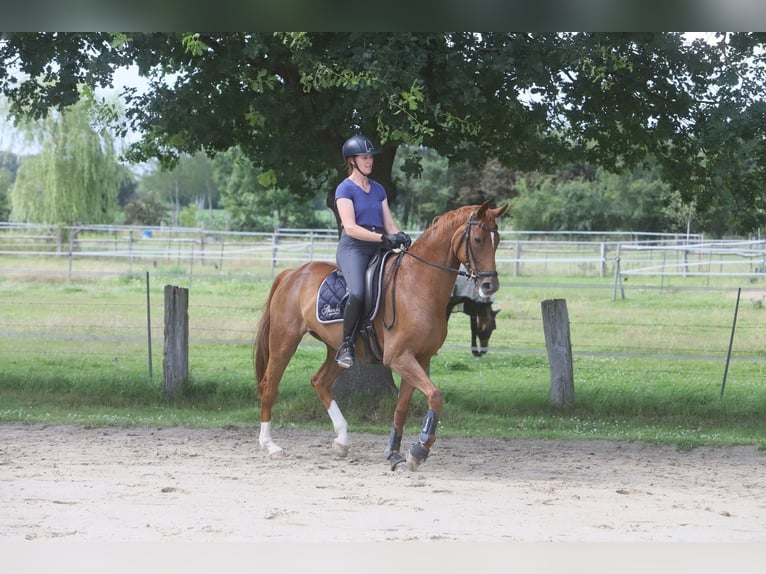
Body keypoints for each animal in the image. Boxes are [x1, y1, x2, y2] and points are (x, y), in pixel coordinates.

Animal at [253, 200, 508, 471]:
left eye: (497, 240)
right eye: (479, 239)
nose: (490, 285)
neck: (419, 283)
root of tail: (292, 274)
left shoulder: (419, 358)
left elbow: (402, 407)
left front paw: (395, 453)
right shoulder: (399, 357)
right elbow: (435, 396)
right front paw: (420, 449)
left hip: (337, 350)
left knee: (319, 381)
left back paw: (342, 441)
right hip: (284, 341)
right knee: (269, 386)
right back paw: (270, 445)